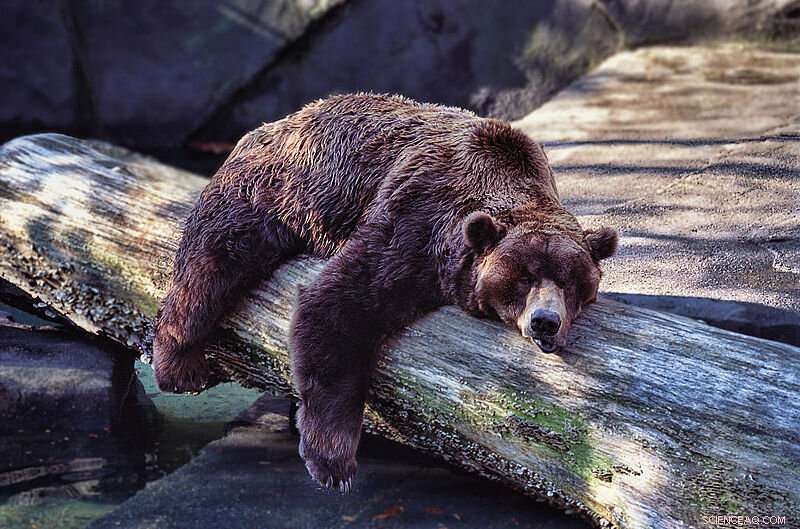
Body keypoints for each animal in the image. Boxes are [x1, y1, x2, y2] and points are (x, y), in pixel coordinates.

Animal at [152, 93, 617, 492]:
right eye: (523, 278)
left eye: (571, 282)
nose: (545, 322)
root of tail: (275, 123)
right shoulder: (418, 218)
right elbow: (340, 305)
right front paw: (334, 463)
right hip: (268, 192)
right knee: (212, 262)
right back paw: (179, 365)